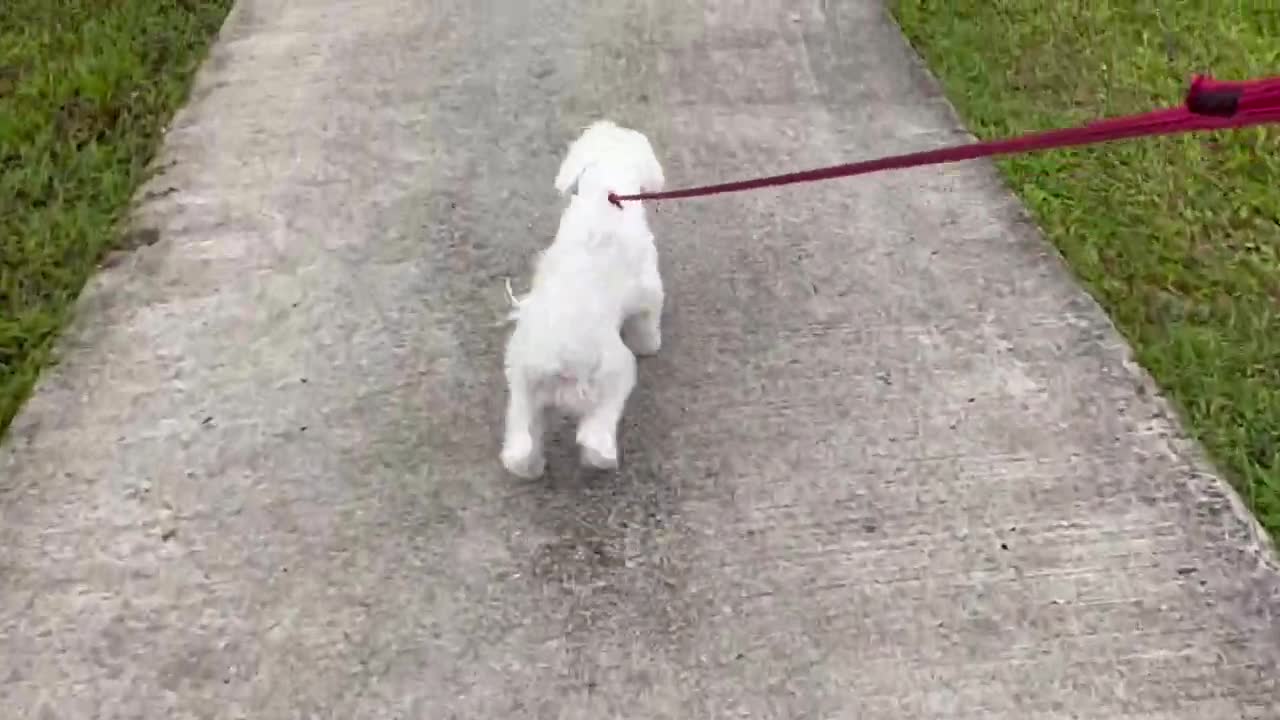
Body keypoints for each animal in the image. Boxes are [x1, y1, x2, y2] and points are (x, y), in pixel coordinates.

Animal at [499, 119, 665, 476]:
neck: (606, 193)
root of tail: (565, 352)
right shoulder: (649, 288)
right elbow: (648, 322)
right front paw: (651, 345)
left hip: (523, 384)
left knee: (521, 441)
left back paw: (529, 466)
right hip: (614, 376)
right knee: (594, 433)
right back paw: (602, 459)